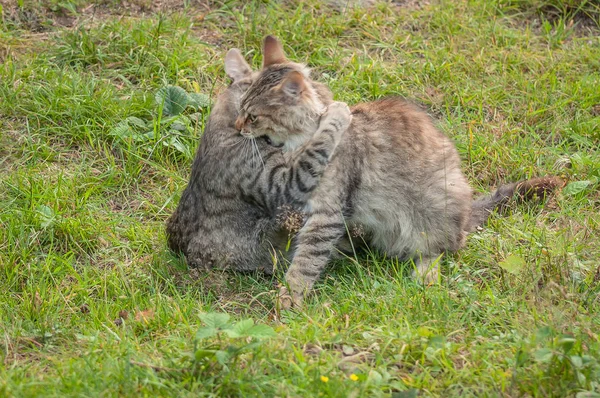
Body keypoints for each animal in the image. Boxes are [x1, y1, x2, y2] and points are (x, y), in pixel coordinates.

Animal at [232, 35, 560, 308]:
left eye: (252, 116)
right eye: (241, 109)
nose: (237, 127)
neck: (304, 138)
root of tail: (467, 212)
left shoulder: (327, 213)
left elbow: (306, 260)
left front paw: (289, 297)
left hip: (433, 214)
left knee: (443, 249)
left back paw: (426, 276)